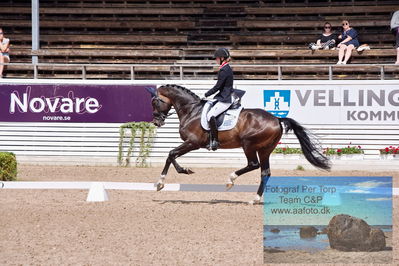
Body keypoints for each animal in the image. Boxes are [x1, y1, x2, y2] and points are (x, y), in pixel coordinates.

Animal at [147, 85, 332, 204]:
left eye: (155, 102)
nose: (157, 122)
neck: (192, 111)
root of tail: (277, 119)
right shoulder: (191, 143)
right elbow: (171, 155)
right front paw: (164, 181)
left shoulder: (193, 142)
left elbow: (171, 154)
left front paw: (168, 179)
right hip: (265, 149)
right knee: (265, 172)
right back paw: (255, 199)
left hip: (248, 144)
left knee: (253, 164)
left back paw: (231, 180)